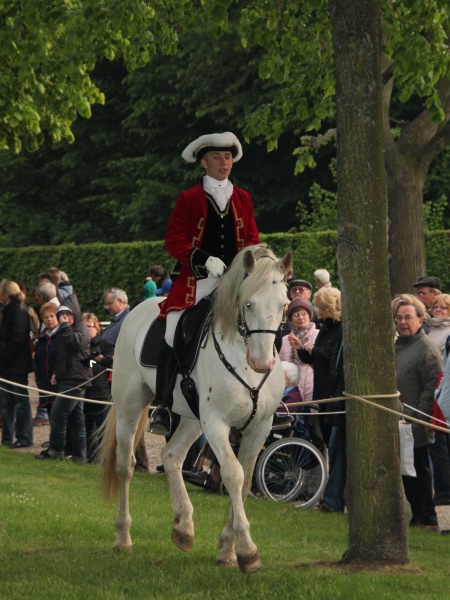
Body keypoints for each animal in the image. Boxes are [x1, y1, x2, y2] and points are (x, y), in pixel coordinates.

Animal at [100, 244, 294, 572]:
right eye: (249, 304)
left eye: (284, 304)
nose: (262, 363)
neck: (240, 354)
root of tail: (137, 310)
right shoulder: (217, 423)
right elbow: (233, 474)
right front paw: (247, 550)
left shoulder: (259, 428)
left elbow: (244, 480)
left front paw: (228, 550)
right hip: (130, 405)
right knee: (125, 466)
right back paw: (123, 539)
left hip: (192, 419)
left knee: (172, 456)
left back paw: (184, 527)